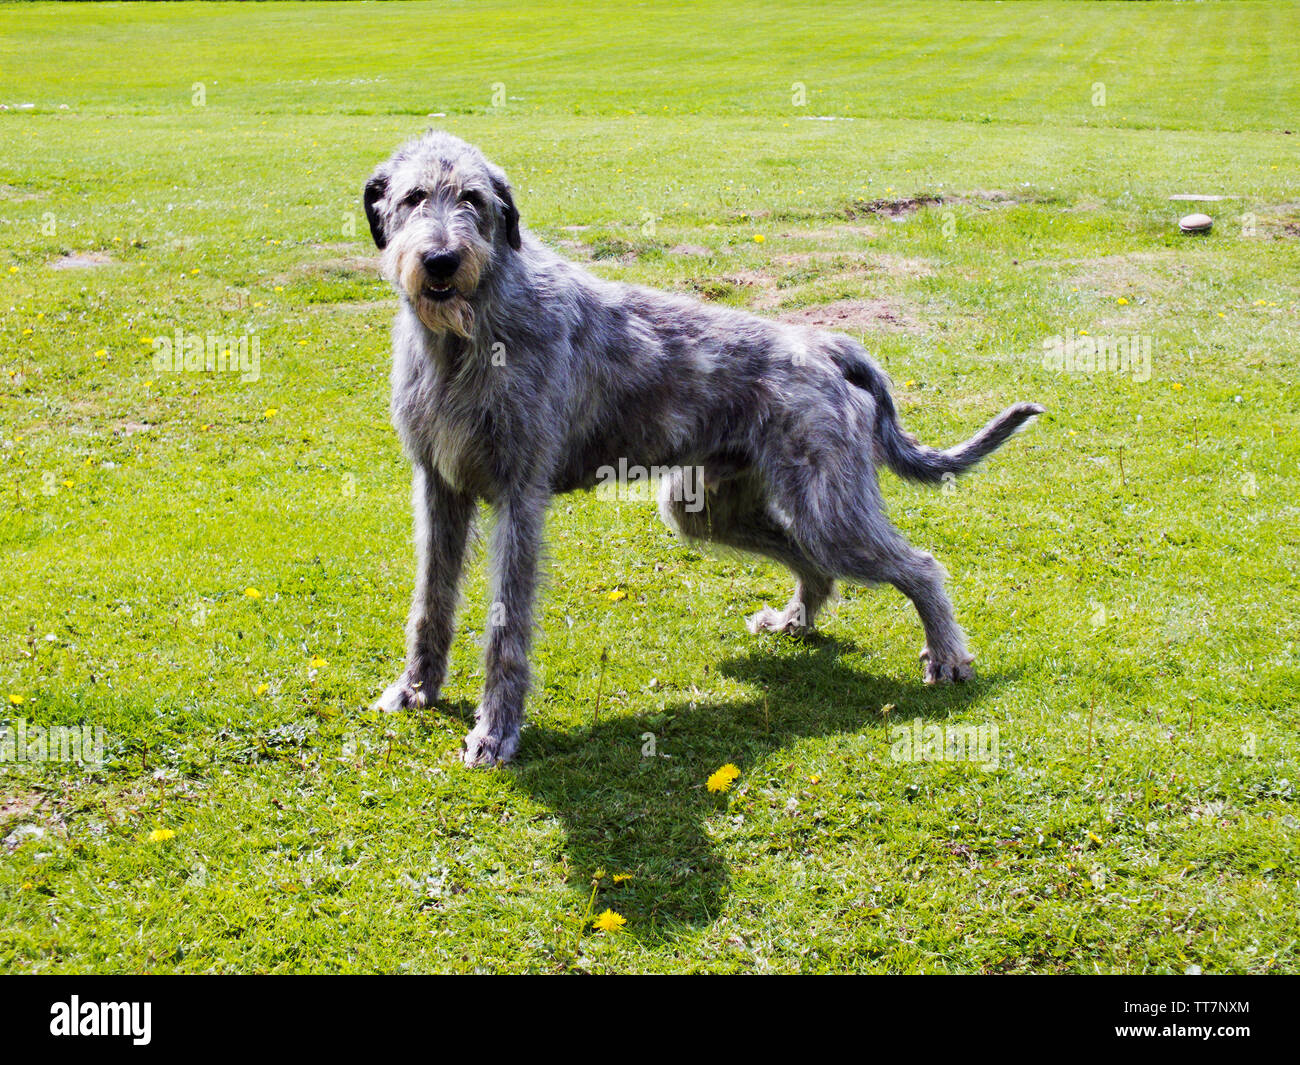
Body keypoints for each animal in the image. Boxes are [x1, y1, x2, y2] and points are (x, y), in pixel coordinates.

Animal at [358, 133, 1045, 764]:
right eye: (413, 198)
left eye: (473, 200)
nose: (441, 261)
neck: (468, 334)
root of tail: (825, 346)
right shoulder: (439, 488)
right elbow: (431, 598)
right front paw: (415, 688)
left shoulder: (518, 498)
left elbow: (507, 622)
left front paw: (496, 731)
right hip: (710, 509)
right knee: (811, 561)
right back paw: (793, 620)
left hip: (830, 512)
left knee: (919, 565)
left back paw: (947, 657)